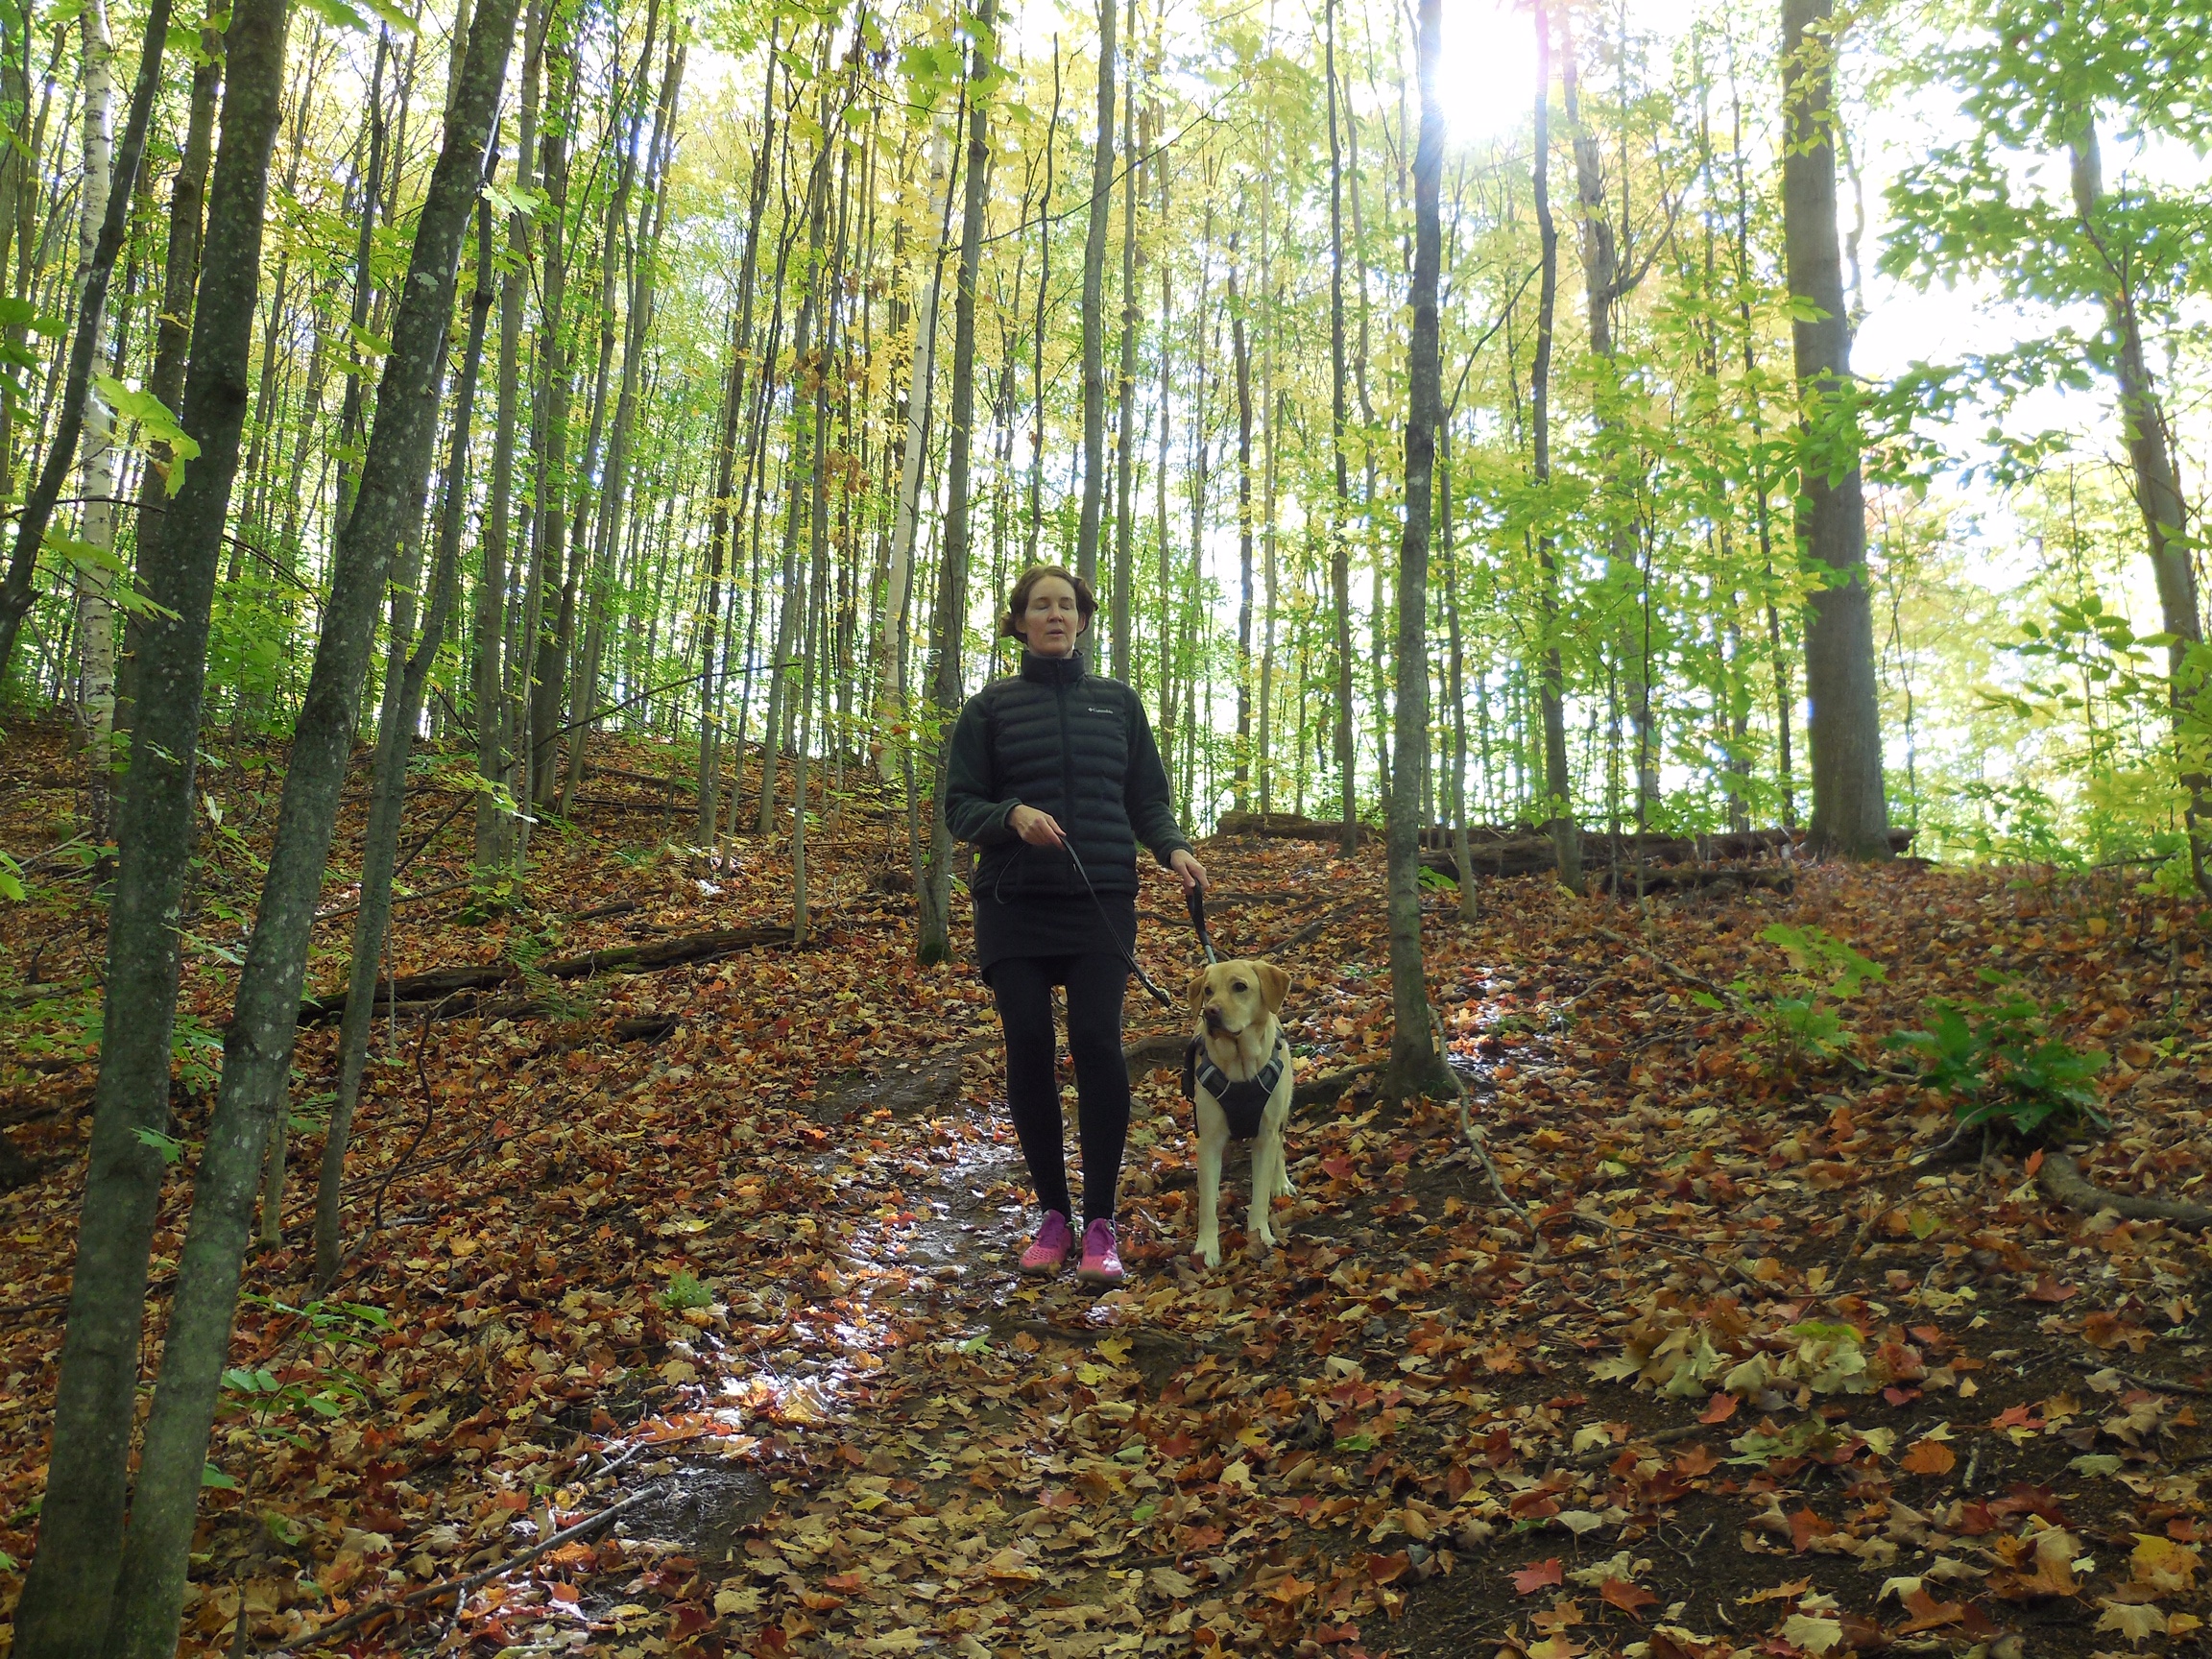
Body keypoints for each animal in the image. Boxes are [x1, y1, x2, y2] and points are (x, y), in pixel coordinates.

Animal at [1194, 959, 1291, 1274]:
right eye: (1208, 990)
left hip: (1282, 1111)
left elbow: (1259, 1194)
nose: (1210, 1012)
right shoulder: (1209, 1141)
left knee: (1280, 1146)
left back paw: (1280, 1181)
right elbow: (1206, 1206)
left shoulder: (1265, 1135)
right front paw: (1206, 1247)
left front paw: (1259, 1235)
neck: (1240, 1067)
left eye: (1240, 986)